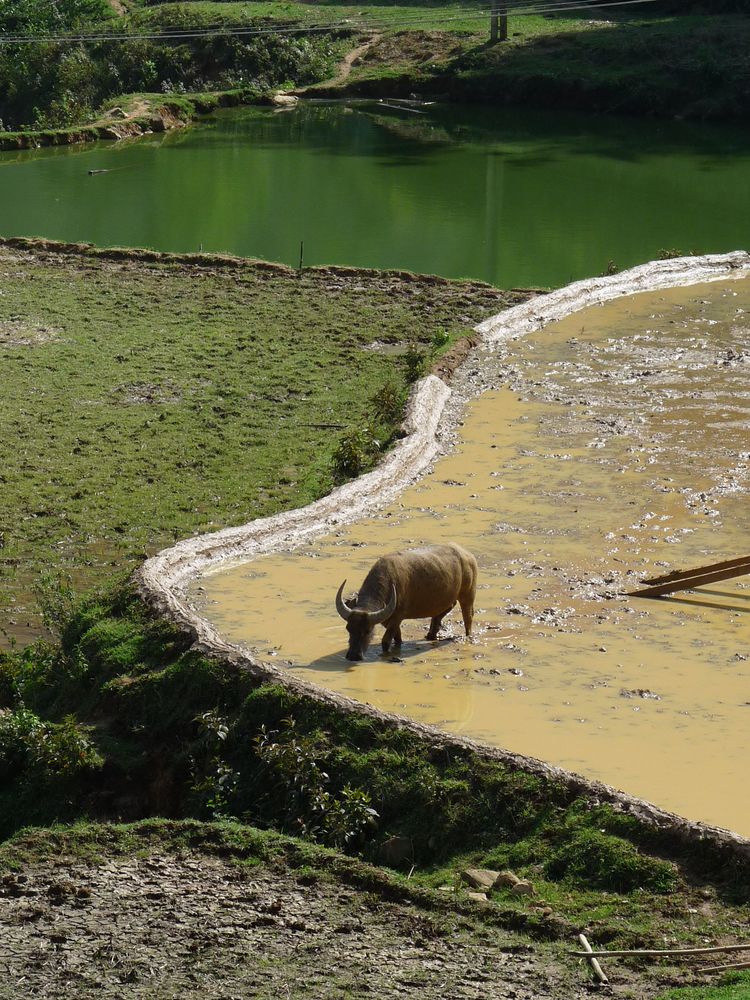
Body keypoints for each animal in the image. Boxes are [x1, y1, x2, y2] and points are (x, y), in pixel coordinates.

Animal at [336, 544, 478, 660]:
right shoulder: (389, 619)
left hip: (468, 595)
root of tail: (469, 555)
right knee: (446, 609)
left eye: (367, 631)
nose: (353, 656)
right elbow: (397, 637)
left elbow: (386, 641)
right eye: (348, 629)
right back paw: (431, 634)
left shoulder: (397, 617)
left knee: (468, 617)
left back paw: (467, 636)